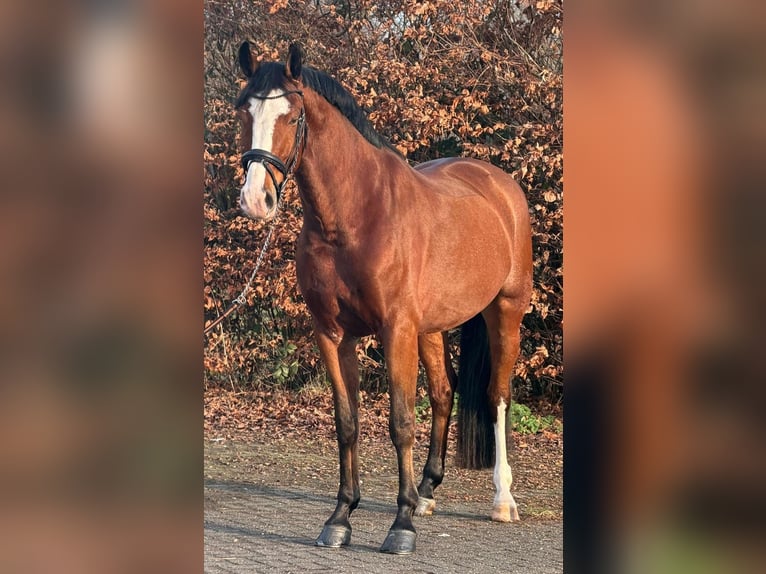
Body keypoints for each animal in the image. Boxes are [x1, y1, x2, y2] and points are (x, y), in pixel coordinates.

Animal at [234, 42, 533, 555]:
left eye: (292, 116)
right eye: (244, 111)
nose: (256, 200)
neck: (355, 216)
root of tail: (500, 185)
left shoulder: (396, 330)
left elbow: (400, 422)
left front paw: (401, 526)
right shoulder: (333, 334)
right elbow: (347, 422)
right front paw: (340, 518)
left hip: (505, 311)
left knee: (497, 395)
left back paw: (502, 500)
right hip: (431, 328)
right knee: (444, 393)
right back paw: (428, 492)